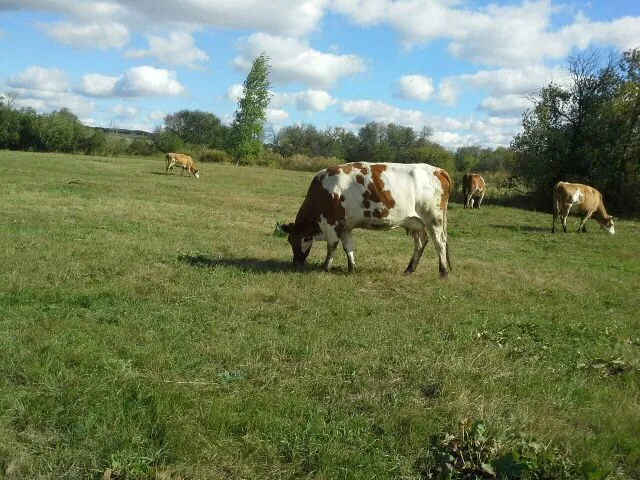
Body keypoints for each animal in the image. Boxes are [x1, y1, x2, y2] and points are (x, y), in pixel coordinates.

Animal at [282, 162, 452, 278]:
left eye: (298, 240)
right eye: (289, 241)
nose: (296, 263)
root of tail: (439, 170)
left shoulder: (332, 224)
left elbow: (332, 247)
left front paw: (325, 268)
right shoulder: (345, 227)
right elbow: (348, 247)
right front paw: (352, 269)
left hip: (434, 218)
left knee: (439, 242)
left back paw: (443, 272)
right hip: (416, 222)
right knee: (421, 242)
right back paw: (409, 269)